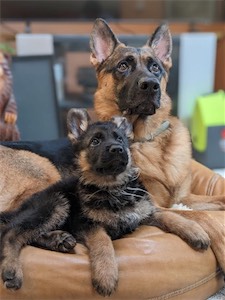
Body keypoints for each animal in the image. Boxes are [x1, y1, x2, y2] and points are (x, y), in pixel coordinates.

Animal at [0, 109, 211, 296]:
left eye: (120, 139)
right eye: (95, 141)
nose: (117, 149)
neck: (114, 188)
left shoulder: (146, 210)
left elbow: (171, 215)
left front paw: (194, 231)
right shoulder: (87, 224)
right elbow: (103, 242)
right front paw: (106, 275)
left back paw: (58, 240)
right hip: (56, 200)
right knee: (11, 233)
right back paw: (12, 269)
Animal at [89, 19, 225, 270]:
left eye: (155, 68)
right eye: (123, 66)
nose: (151, 85)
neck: (145, 140)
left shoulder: (183, 198)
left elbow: (216, 200)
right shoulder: (158, 204)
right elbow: (203, 216)